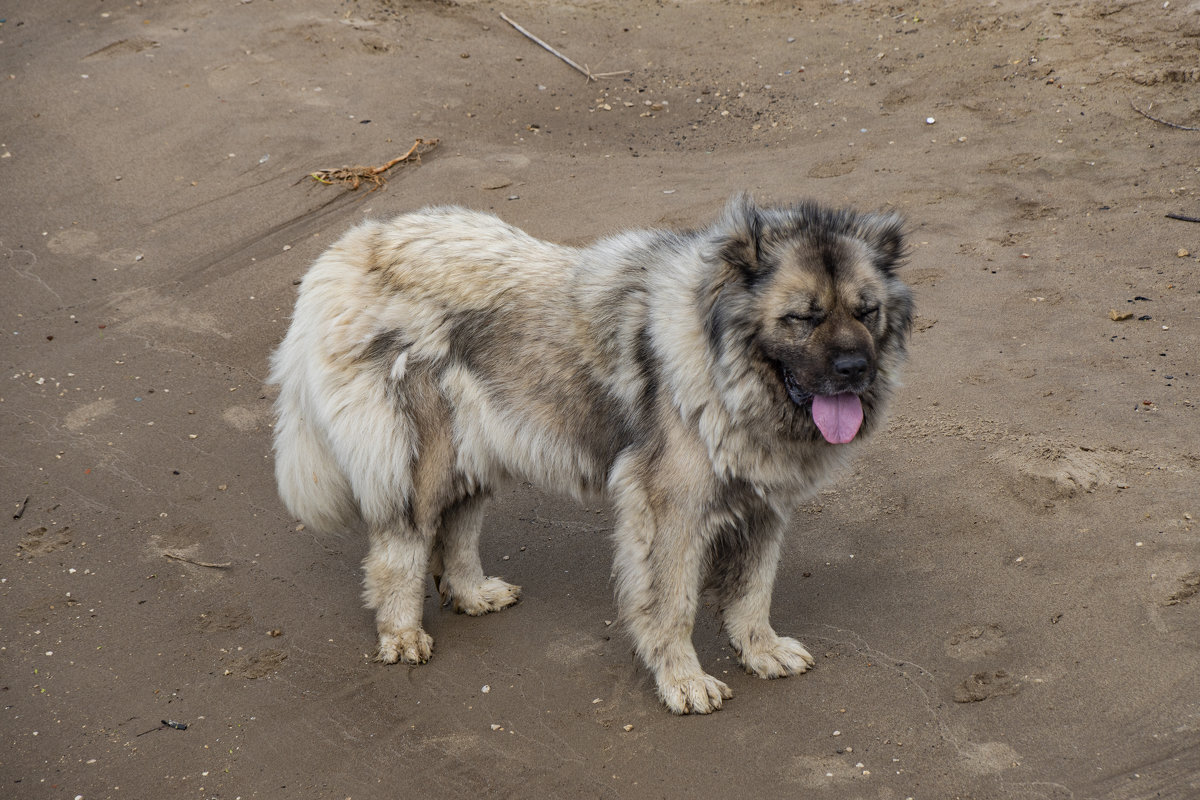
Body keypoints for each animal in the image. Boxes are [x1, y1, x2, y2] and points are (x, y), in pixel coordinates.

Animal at [270, 194, 907, 714]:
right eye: (803, 317)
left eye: (866, 311)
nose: (855, 369)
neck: (719, 359)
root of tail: (349, 248)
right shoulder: (670, 510)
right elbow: (673, 604)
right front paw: (683, 681)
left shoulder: (763, 505)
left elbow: (754, 591)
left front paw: (762, 650)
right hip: (422, 458)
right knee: (400, 551)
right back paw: (401, 634)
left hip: (475, 446)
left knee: (458, 529)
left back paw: (473, 593)